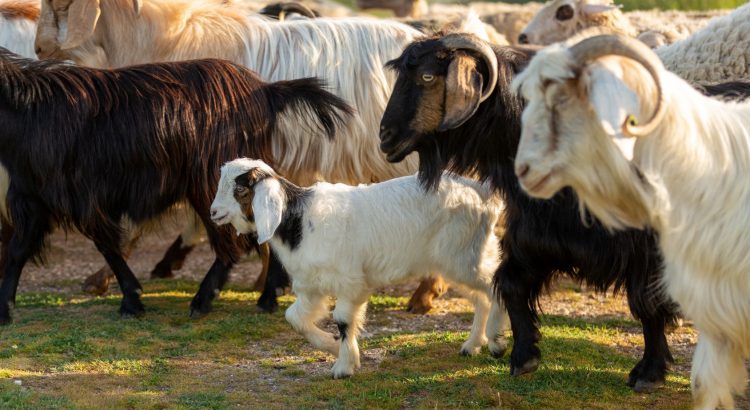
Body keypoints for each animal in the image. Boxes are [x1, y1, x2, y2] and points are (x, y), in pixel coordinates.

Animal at [0, 48, 352, 324]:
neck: (31, 112)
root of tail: (265, 90)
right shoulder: (33, 198)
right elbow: (18, 250)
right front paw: (5, 311)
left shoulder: (82, 198)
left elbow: (107, 246)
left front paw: (132, 300)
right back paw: (268, 296)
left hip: (210, 181)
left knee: (233, 242)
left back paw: (204, 300)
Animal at [209, 157, 508, 378]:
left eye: (241, 189)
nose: (213, 212)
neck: (298, 221)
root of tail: (484, 194)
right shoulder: (311, 287)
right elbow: (294, 317)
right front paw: (331, 346)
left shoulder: (351, 282)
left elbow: (343, 319)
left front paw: (343, 366)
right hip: (459, 260)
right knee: (481, 298)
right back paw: (473, 345)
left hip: (464, 256)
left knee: (495, 286)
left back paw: (496, 343)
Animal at [378, 32, 680, 390]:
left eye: (427, 77)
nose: (385, 136)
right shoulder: (539, 232)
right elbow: (510, 282)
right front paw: (523, 356)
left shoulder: (643, 243)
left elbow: (646, 302)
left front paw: (649, 371)